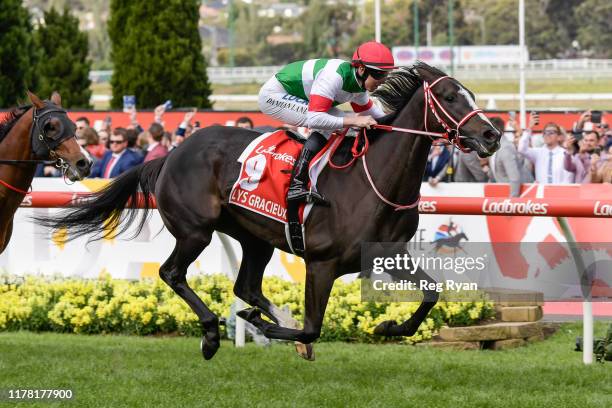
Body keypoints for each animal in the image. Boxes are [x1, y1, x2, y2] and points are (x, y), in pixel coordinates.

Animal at [38, 63, 500, 360]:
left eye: (472, 95)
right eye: (449, 96)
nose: (492, 135)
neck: (375, 181)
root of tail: (171, 153)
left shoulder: (389, 253)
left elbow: (431, 293)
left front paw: (390, 328)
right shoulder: (322, 263)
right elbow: (314, 326)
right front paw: (278, 332)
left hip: (255, 237)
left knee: (246, 287)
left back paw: (260, 318)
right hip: (195, 230)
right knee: (172, 273)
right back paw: (213, 333)